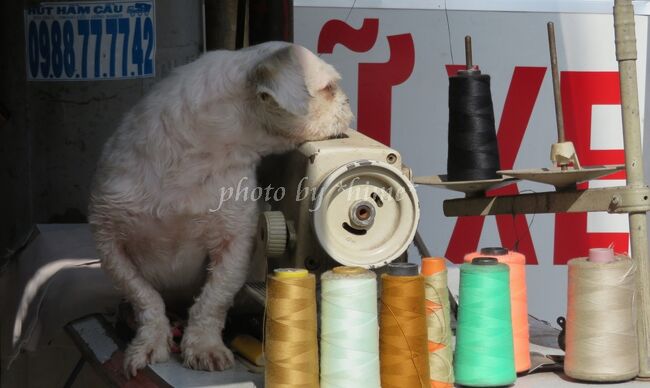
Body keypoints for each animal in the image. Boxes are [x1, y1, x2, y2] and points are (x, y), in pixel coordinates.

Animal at [88, 41, 352, 376]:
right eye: (329, 88)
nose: (348, 102)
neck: (197, 159)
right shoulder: (109, 241)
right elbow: (145, 297)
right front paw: (150, 343)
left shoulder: (235, 242)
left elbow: (213, 298)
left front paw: (203, 346)